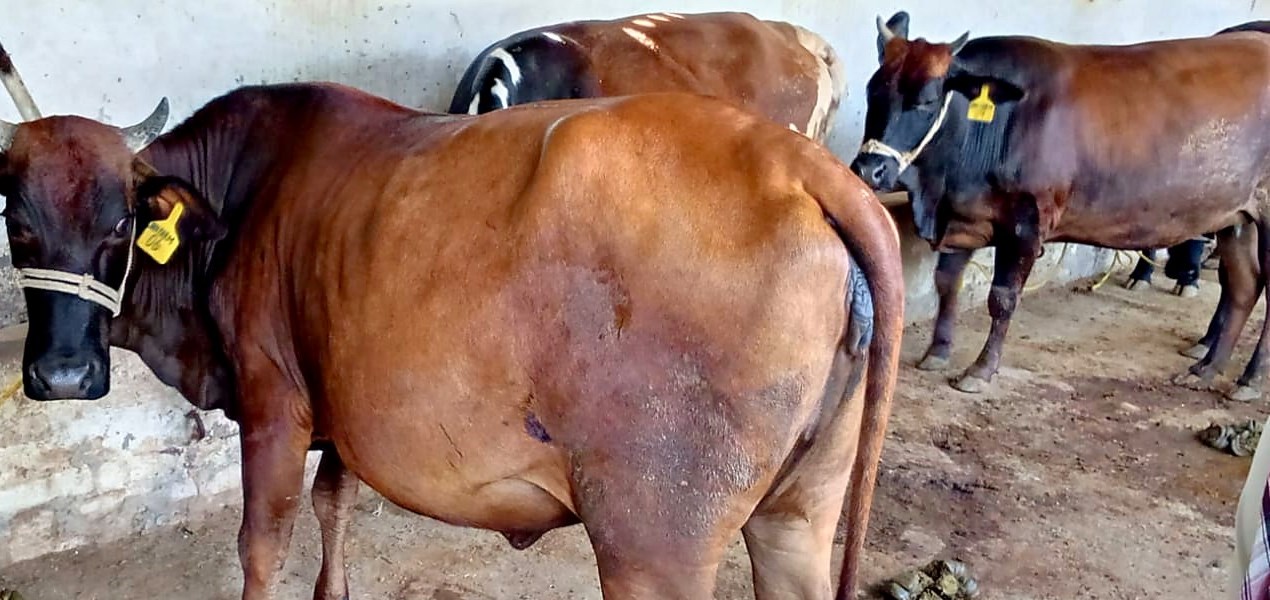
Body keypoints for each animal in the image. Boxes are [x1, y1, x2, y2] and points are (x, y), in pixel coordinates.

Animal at [0, 41, 902, 600]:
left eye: (120, 223)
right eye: (18, 219)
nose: (63, 376)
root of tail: (793, 160)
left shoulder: (273, 401)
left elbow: (264, 543)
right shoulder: (344, 409)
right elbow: (334, 508)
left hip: (656, 544)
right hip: (797, 515)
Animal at [849, 11, 1270, 401]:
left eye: (927, 100)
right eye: (874, 92)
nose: (870, 169)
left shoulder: (1026, 224)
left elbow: (1002, 299)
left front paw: (980, 370)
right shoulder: (963, 216)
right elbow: (947, 283)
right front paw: (938, 351)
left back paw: (1248, 380)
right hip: (1236, 219)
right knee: (1243, 287)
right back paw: (1206, 368)